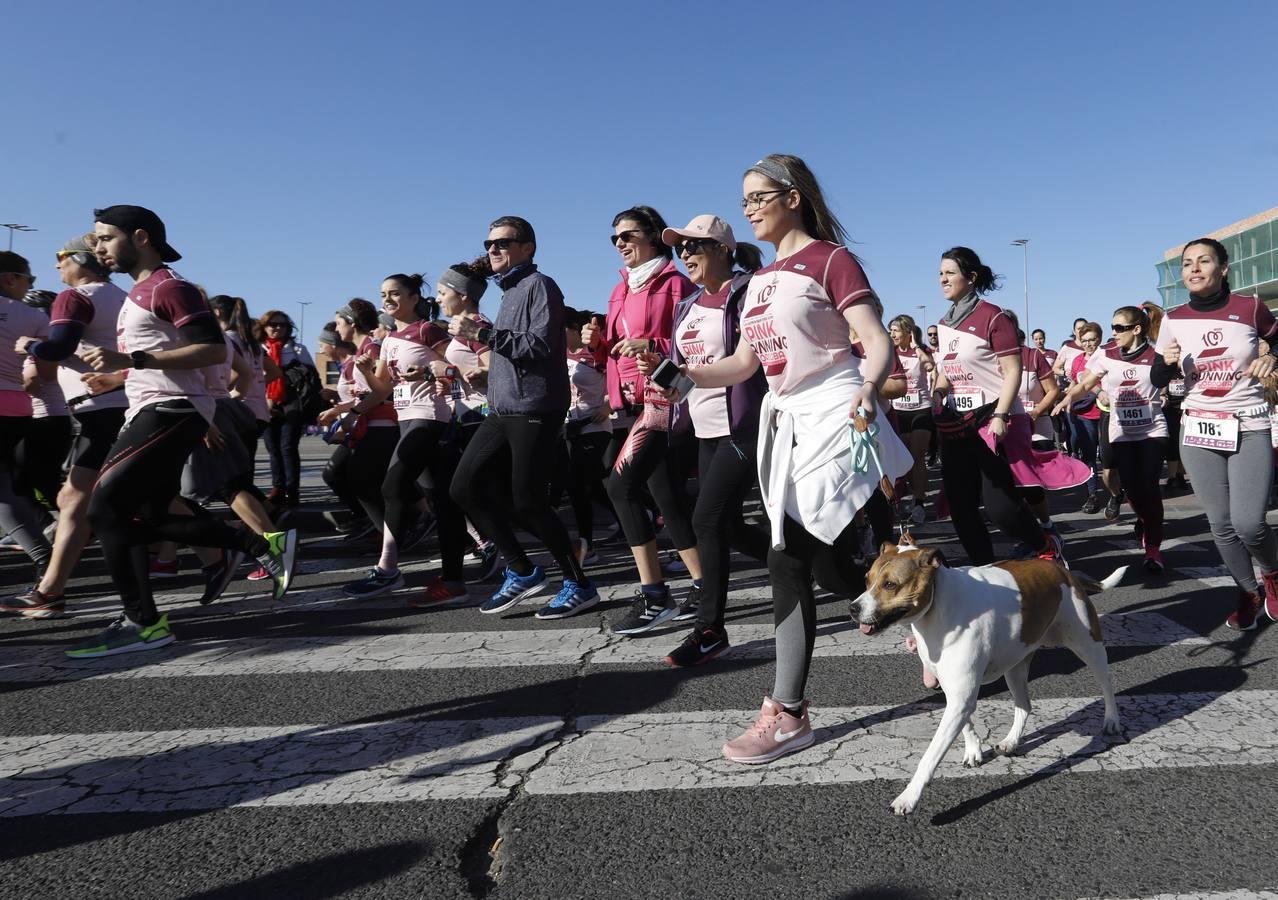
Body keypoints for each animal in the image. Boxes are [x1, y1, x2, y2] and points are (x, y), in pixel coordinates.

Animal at [853, 536, 1124, 818]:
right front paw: (973, 749)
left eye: (890, 584)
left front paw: (909, 796)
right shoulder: (955, 693)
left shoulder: (960, 697)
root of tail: (1062, 570)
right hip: (1015, 665)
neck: (937, 606)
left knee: (1106, 683)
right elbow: (966, 723)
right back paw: (1011, 741)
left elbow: (930, 756)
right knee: (1024, 706)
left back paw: (1111, 719)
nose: (853, 609)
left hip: (1088, 645)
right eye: (866, 579)